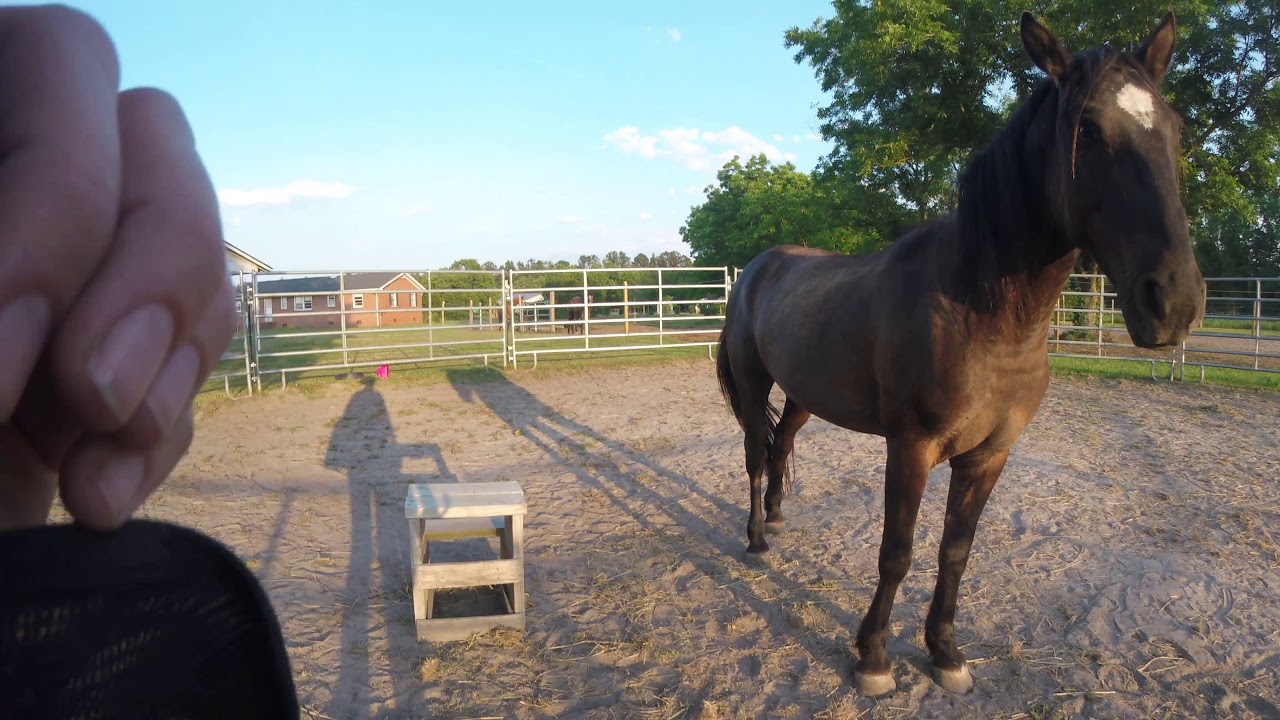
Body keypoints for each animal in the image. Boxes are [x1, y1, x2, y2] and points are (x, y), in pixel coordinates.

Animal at [716, 11, 1205, 698]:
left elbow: (956, 551)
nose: (1174, 301)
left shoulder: (988, 455)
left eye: (1174, 130)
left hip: (805, 395)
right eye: (1087, 129)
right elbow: (897, 550)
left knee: (782, 445)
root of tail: (756, 269)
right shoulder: (912, 447)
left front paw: (945, 651)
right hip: (757, 382)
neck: (985, 316)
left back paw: (780, 521)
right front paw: (873, 658)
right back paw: (758, 539)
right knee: (758, 457)